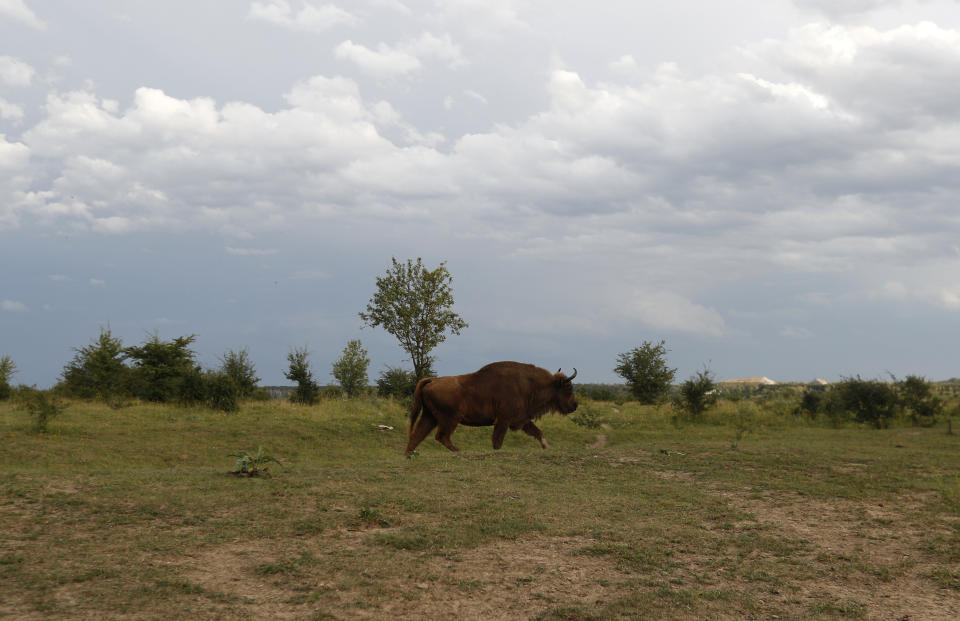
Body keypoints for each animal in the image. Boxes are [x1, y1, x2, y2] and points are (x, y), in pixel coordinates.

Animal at [404, 358, 576, 456]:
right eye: (568, 387)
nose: (574, 405)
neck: (529, 385)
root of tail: (432, 380)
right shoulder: (504, 420)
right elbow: (497, 441)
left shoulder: (521, 419)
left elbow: (538, 432)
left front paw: (547, 447)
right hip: (450, 419)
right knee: (441, 436)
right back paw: (459, 451)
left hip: (429, 416)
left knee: (417, 435)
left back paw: (409, 455)